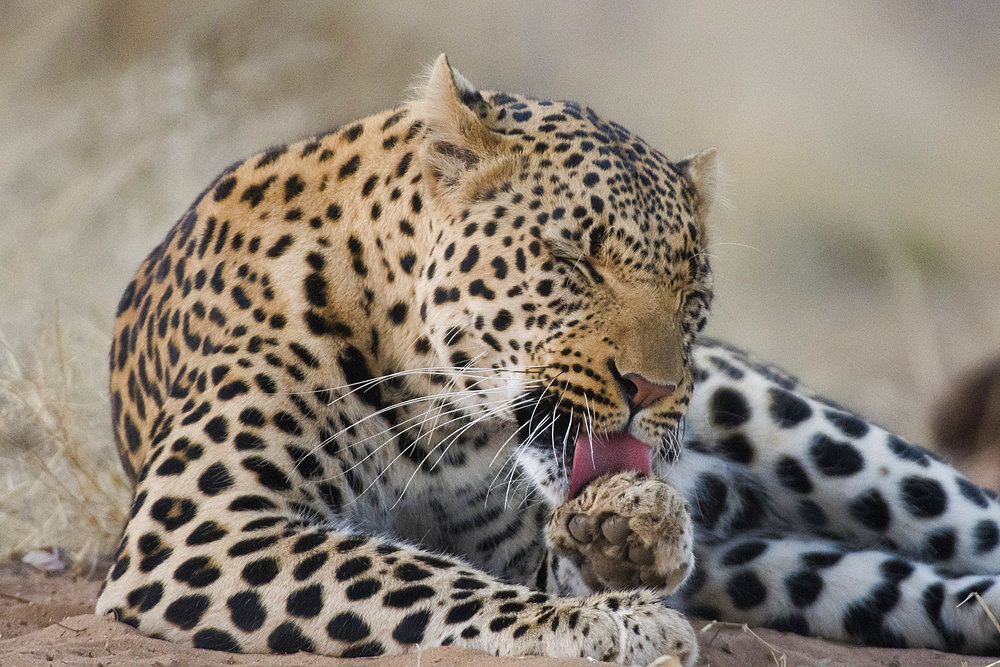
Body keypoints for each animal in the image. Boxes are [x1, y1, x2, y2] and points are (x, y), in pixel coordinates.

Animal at [94, 56, 1000, 664]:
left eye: (691, 290)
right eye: (574, 261)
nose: (652, 389)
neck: (442, 428)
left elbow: (451, 572)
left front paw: (624, 544)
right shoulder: (203, 527)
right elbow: (409, 575)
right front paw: (617, 614)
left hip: (800, 427)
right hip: (766, 565)